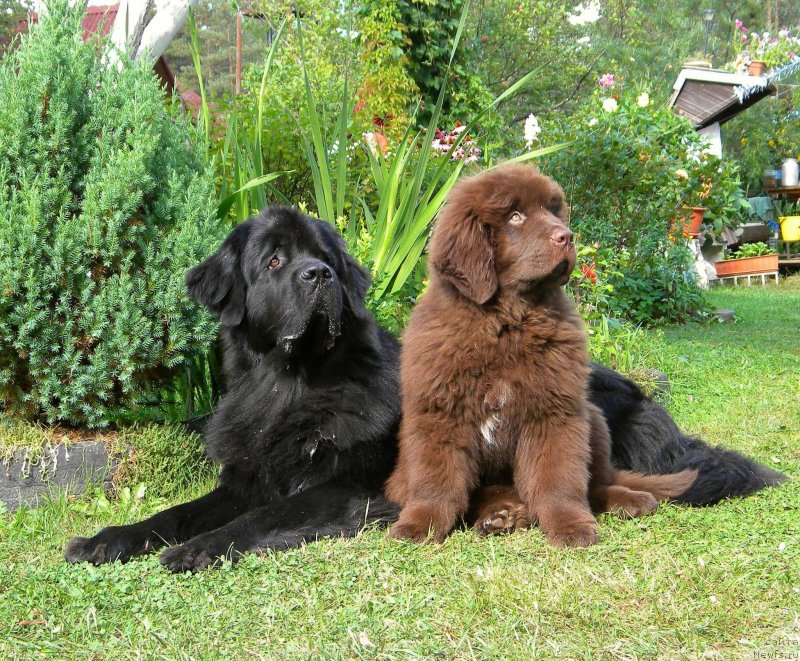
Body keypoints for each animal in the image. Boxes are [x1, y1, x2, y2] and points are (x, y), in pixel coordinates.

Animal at [65, 208, 784, 572]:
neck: (292, 387)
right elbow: (177, 512)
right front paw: (110, 539)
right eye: (273, 260)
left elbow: (257, 521)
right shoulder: (248, 475)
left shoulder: (342, 487)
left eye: (323, 255)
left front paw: (197, 551)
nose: (320, 276)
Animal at [386, 162, 692, 544]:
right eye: (515, 216)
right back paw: (502, 515)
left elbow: (557, 479)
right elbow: (436, 481)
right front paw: (419, 525)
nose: (568, 236)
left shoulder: (554, 412)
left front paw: (571, 526)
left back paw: (629, 500)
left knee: (597, 484)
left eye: (552, 211)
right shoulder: (440, 413)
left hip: (593, 419)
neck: (506, 322)